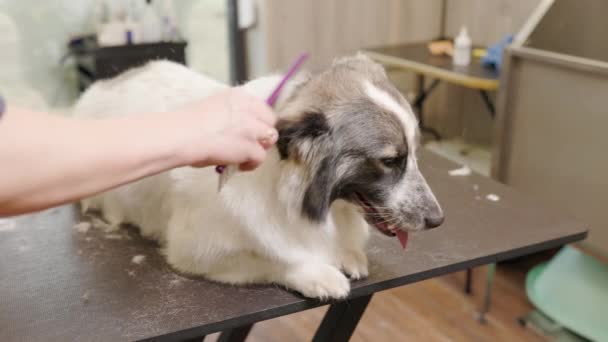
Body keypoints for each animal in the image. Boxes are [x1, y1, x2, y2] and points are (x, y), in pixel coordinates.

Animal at [73, 53, 444, 300]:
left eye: (414, 153)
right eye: (390, 161)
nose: (437, 220)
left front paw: (348, 253)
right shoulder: (194, 250)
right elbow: (271, 259)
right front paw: (317, 273)